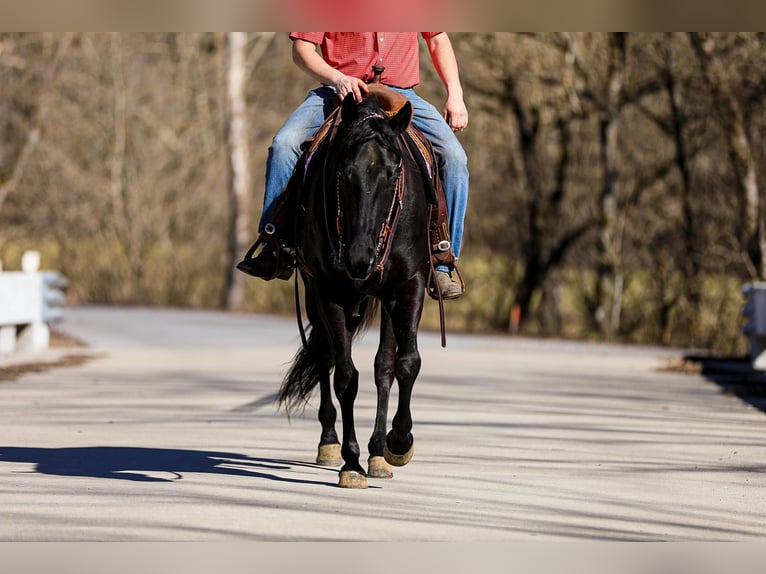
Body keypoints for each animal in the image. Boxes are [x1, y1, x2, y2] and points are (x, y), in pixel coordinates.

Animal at [278, 90, 432, 490]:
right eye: (343, 173)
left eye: (393, 174)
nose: (360, 258)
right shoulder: (329, 290)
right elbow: (346, 377)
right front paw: (351, 462)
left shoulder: (408, 285)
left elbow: (403, 365)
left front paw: (395, 444)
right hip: (318, 296)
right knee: (324, 359)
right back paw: (329, 443)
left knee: (383, 366)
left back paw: (378, 452)